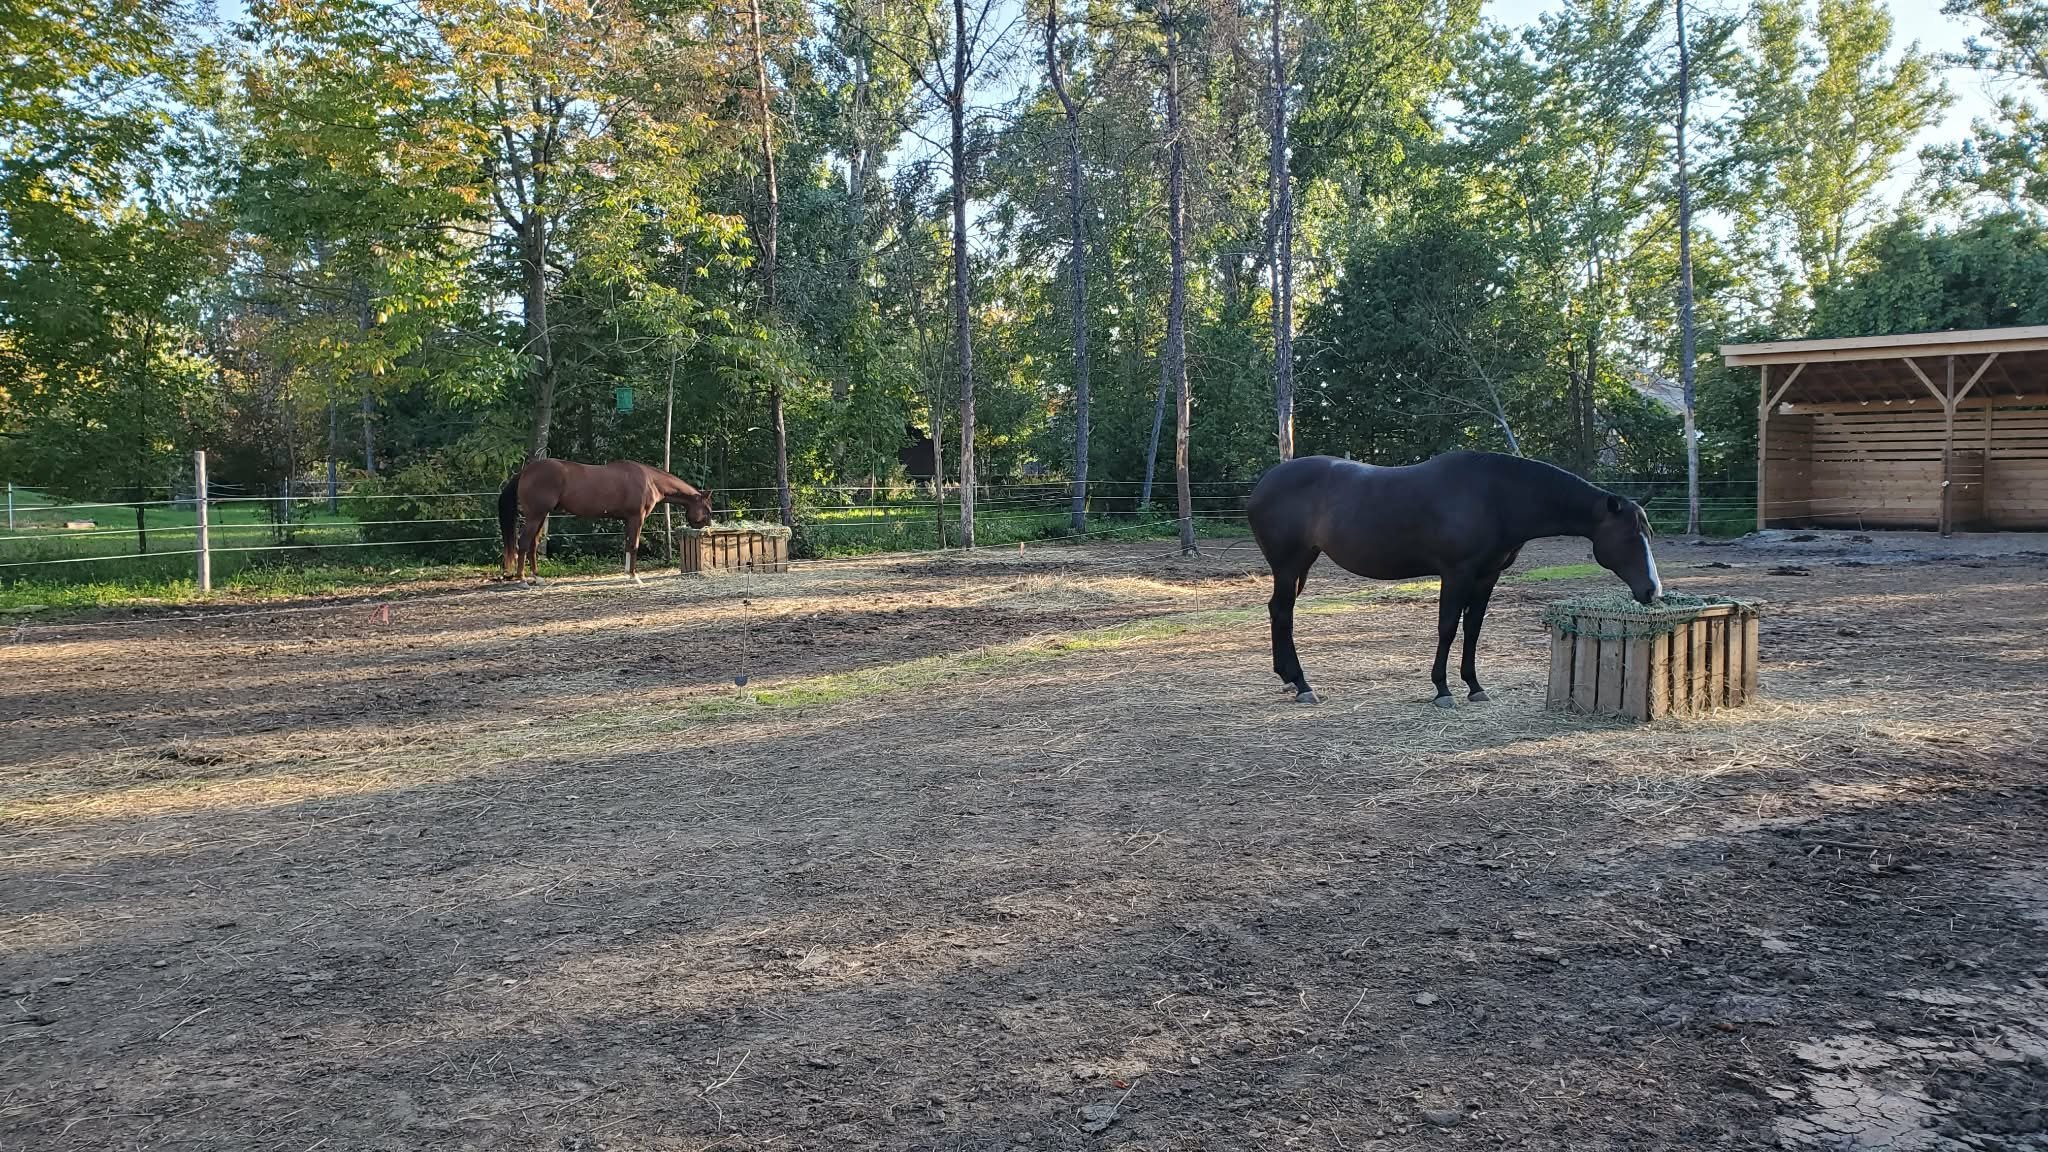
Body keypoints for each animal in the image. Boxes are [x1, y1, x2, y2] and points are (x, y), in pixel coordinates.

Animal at [497, 458, 714, 583]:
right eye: (708, 510)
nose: (708, 527)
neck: (650, 481)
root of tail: (525, 472)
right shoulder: (636, 518)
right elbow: (634, 545)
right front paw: (635, 577)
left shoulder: (628, 520)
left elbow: (627, 545)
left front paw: (628, 573)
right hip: (535, 515)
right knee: (523, 543)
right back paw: (522, 579)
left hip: (542, 516)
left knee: (533, 544)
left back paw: (537, 577)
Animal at [1247, 450, 1662, 708]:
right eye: (1629, 536)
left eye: (1649, 533)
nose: (1651, 590)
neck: (1496, 496)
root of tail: (1264, 483)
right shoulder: (1456, 573)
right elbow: (1448, 627)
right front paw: (1442, 690)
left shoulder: (1486, 576)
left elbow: (1473, 629)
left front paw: (1474, 686)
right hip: (1289, 564)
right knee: (1282, 612)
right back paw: (1303, 685)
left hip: (1301, 565)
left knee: (1278, 611)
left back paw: (1288, 678)